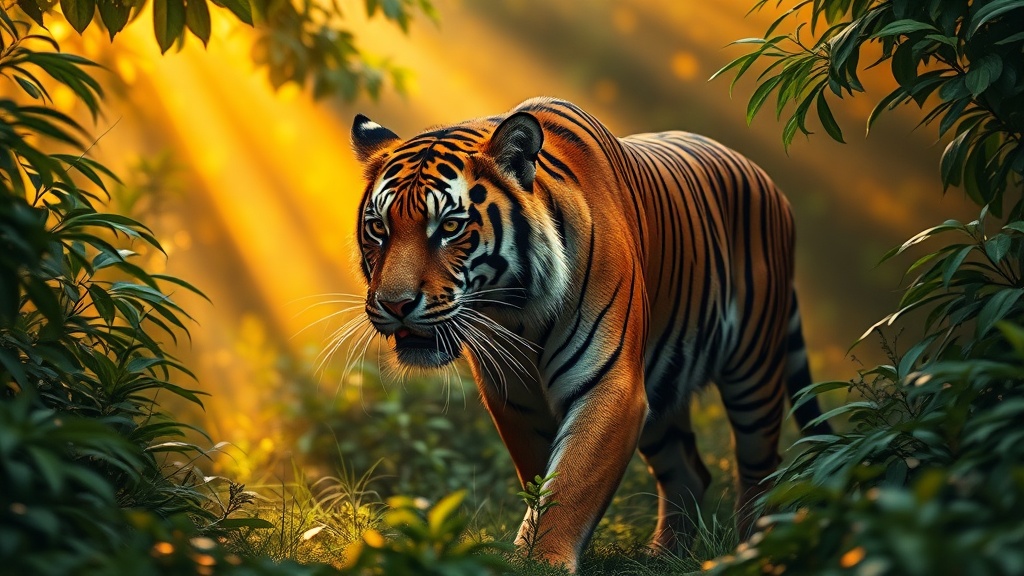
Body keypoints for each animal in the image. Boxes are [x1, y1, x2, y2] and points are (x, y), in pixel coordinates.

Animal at [349, 97, 831, 572]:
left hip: (753, 374)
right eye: (379, 228)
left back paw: (755, 552)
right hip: (663, 388)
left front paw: (540, 562)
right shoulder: (515, 399)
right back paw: (663, 557)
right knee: (689, 471)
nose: (395, 304)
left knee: (763, 471)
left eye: (449, 227)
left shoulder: (611, 385)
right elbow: (540, 479)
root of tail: (768, 181)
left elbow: (569, 485)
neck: (517, 312)